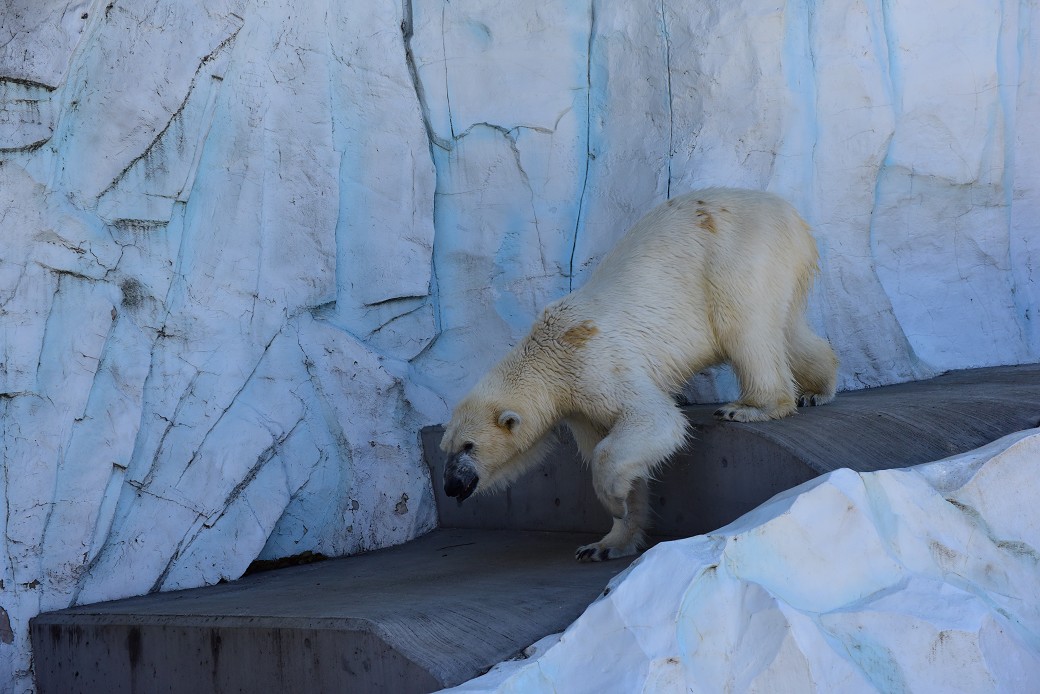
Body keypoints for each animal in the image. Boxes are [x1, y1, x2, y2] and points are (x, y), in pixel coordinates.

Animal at [438, 187, 836, 561]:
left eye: (469, 446)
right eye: (446, 447)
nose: (450, 486)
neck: (550, 355)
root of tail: (792, 216)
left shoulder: (594, 366)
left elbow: (651, 420)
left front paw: (613, 501)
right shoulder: (579, 409)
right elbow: (621, 448)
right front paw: (605, 543)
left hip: (737, 256)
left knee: (743, 327)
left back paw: (751, 406)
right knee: (786, 328)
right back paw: (817, 389)